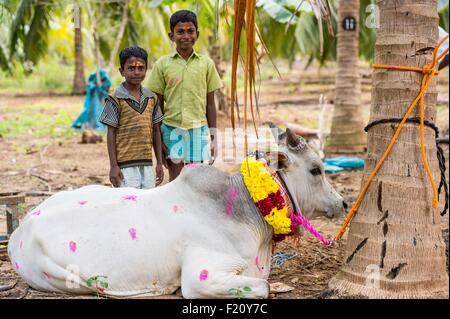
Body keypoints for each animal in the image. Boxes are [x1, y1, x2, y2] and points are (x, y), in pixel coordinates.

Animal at [7, 129, 344, 298]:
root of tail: (18, 232)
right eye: (316, 169)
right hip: (63, 279)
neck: (247, 208)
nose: (341, 203)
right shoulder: (201, 276)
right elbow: (263, 288)